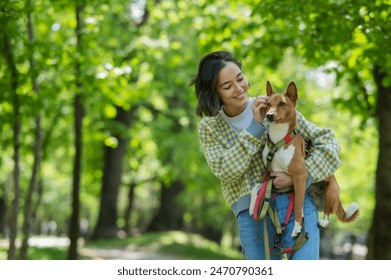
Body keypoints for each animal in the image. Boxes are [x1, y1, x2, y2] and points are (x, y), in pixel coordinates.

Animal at [258, 80, 360, 237]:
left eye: (282, 103)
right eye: (268, 104)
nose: (269, 115)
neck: (279, 140)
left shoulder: (299, 177)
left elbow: (297, 206)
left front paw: (297, 227)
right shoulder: (269, 174)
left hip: (331, 191)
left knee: (326, 211)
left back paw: (323, 220)